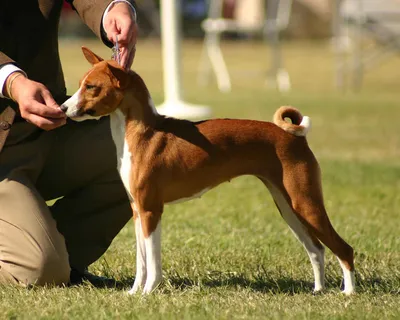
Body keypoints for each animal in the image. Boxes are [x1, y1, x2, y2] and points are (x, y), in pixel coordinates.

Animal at [62, 47, 356, 296]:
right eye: (81, 84)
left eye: (91, 87)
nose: (63, 108)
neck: (142, 133)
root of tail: (293, 135)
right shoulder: (136, 210)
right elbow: (141, 261)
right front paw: (134, 292)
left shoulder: (150, 210)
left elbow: (153, 262)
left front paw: (148, 292)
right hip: (289, 207)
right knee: (316, 249)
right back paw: (318, 290)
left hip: (305, 203)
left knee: (343, 249)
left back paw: (348, 293)